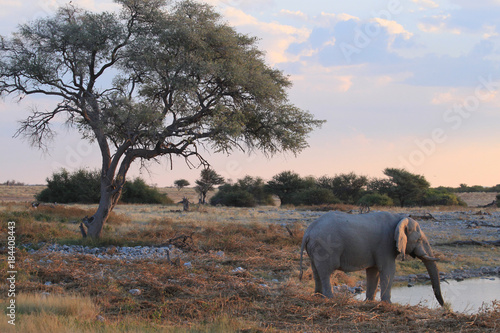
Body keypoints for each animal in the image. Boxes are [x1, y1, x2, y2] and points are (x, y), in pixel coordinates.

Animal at [298, 211, 444, 304]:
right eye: (419, 239)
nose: (443, 305)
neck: (399, 217)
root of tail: (308, 231)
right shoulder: (385, 244)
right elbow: (388, 270)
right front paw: (388, 304)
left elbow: (373, 271)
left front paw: (369, 302)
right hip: (325, 247)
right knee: (327, 271)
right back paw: (330, 299)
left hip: (315, 249)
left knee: (316, 270)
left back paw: (317, 297)